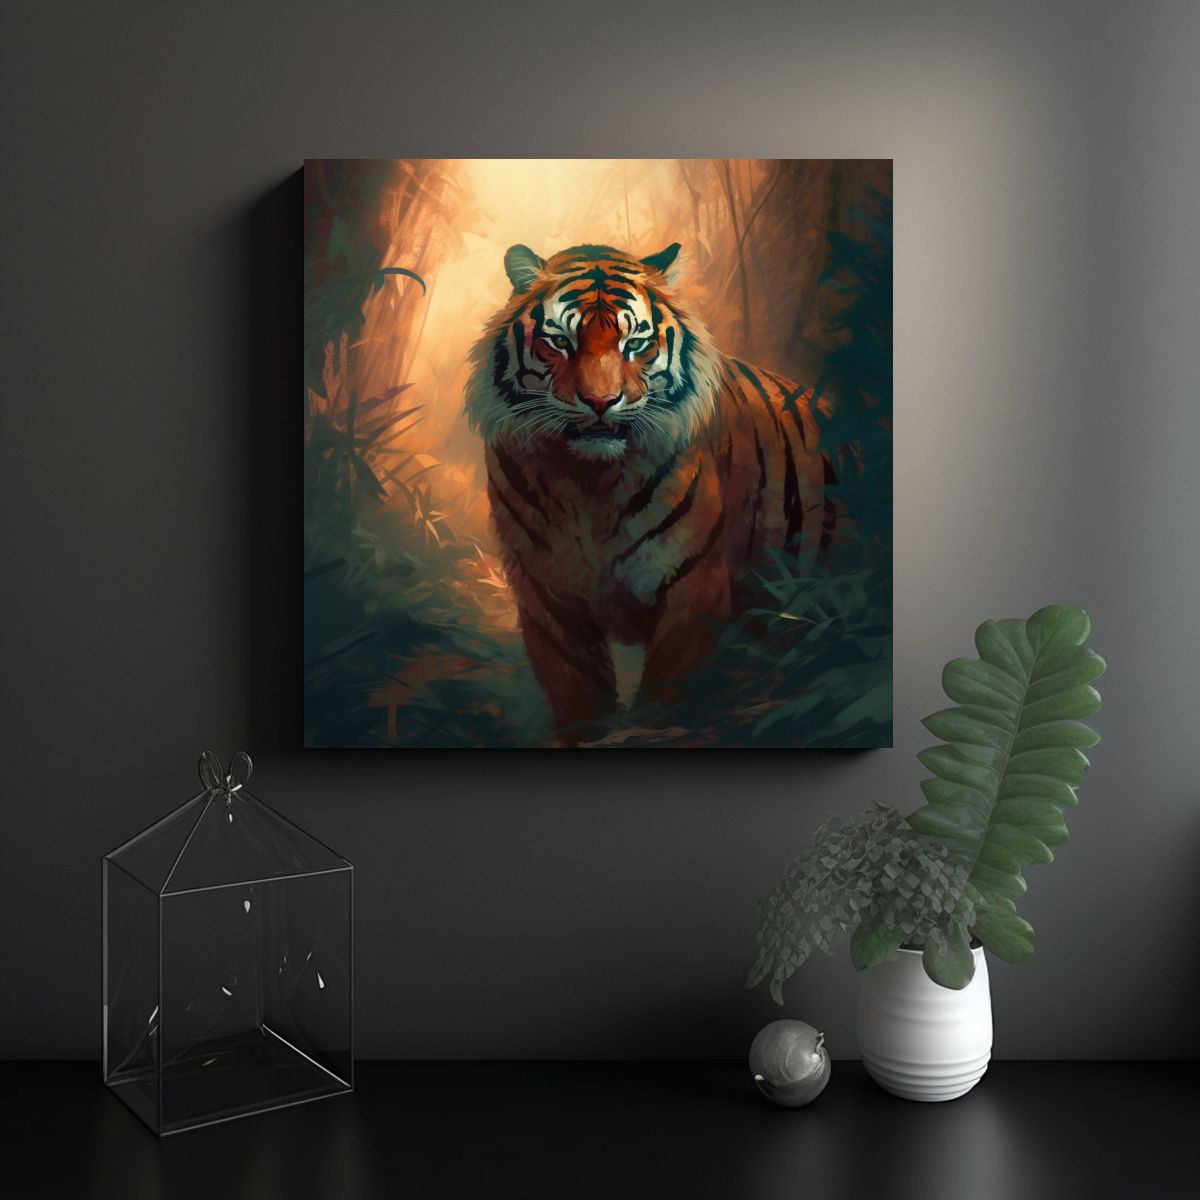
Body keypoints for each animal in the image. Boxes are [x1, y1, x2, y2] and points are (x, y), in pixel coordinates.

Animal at [465, 241, 840, 742]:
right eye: (561, 342)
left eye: (636, 344)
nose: (601, 402)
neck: (588, 482)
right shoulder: (547, 598)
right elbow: (580, 700)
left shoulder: (694, 587)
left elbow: (666, 699)